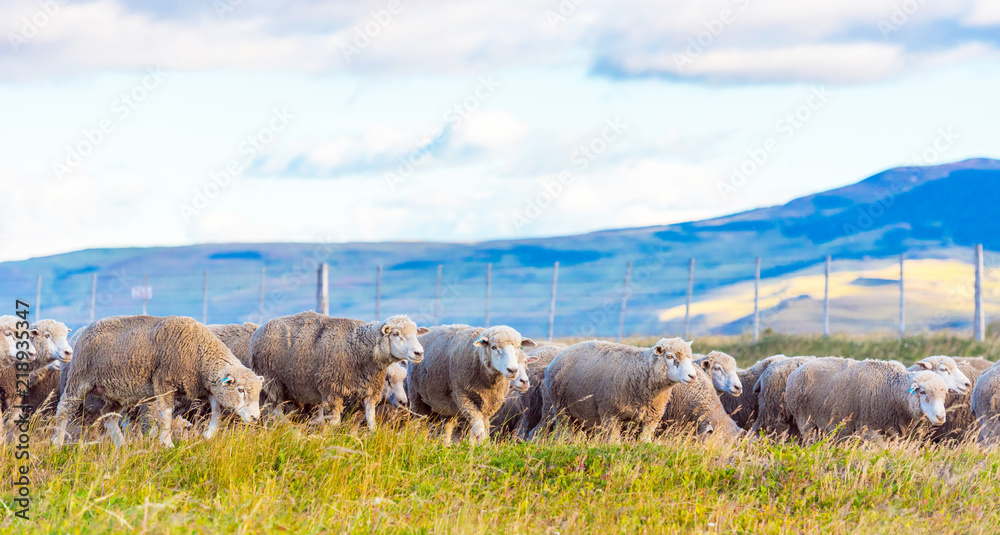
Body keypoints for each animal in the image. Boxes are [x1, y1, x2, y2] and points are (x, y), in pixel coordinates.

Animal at [52, 315, 263, 448]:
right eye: (241, 390)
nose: (255, 417)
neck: (200, 352)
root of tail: (89, 327)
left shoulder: (200, 387)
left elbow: (217, 410)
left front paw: (208, 434)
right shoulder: (165, 383)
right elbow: (166, 414)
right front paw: (167, 443)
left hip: (116, 391)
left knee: (109, 415)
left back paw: (121, 445)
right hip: (79, 379)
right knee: (65, 409)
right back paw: (57, 443)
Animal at [250, 311, 427, 431]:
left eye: (415, 333)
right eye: (396, 334)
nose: (419, 353)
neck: (359, 347)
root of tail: (259, 330)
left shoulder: (369, 391)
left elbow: (371, 422)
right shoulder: (333, 391)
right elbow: (335, 423)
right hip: (272, 380)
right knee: (274, 410)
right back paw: (293, 431)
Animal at [407, 324, 537, 444]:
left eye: (518, 347)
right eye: (494, 347)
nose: (513, 370)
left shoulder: (489, 405)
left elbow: (484, 429)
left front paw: (483, 447)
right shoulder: (464, 398)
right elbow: (478, 430)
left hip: (447, 406)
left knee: (447, 428)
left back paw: (445, 446)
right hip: (416, 398)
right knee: (420, 424)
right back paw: (418, 442)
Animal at [538, 337, 697, 443]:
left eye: (689, 357)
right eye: (669, 356)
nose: (692, 376)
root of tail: (560, 356)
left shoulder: (651, 418)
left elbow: (645, 442)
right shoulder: (610, 415)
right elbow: (613, 443)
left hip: (580, 414)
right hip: (562, 410)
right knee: (564, 433)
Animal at [786, 358, 949, 441]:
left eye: (944, 395)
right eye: (923, 392)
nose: (940, 417)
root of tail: (796, 371)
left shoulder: (893, 431)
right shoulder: (869, 429)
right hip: (805, 421)